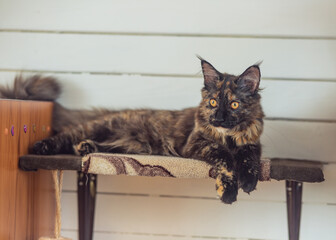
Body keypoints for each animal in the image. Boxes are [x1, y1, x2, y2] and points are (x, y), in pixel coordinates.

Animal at [0, 59, 264, 203]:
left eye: (234, 105)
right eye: (212, 102)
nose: (218, 118)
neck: (228, 136)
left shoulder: (252, 144)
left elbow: (249, 159)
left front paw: (249, 180)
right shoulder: (197, 142)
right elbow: (225, 158)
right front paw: (228, 191)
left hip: (131, 144)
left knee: (102, 145)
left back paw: (87, 147)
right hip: (98, 126)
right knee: (65, 136)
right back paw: (43, 146)